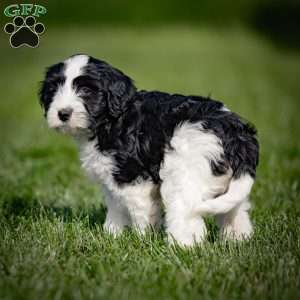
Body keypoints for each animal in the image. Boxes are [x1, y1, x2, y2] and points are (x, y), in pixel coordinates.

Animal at [39, 54, 258, 246]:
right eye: (54, 89)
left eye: (86, 90)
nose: (63, 113)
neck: (113, 120)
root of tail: (237, 136)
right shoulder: (112, 178)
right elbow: (116, 207)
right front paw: (111, 235)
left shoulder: (134, 178)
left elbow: (140, 213)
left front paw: (141, 240)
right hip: (228, 185)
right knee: (236, 212)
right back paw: (237, 240)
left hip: (185, 173)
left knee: (186, 216)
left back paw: (181, 247)